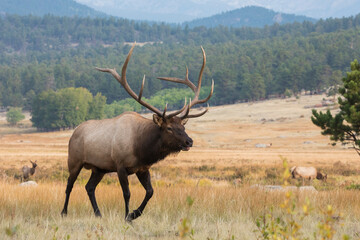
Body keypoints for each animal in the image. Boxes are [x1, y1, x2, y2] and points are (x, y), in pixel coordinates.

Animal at [60, 43, 215, 221]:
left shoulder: (142, 168)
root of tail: (74, 133)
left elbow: (150, 191)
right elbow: (127, 193)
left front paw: (134, 213)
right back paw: (64, 212)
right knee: (69, 185)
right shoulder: (120, 165)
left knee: (89, 187)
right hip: (74, 160)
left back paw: (98, 214)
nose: (189, 141)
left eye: (183, 127)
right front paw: (127, 216)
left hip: (99, 168)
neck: (141, 148)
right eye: (169, 128)